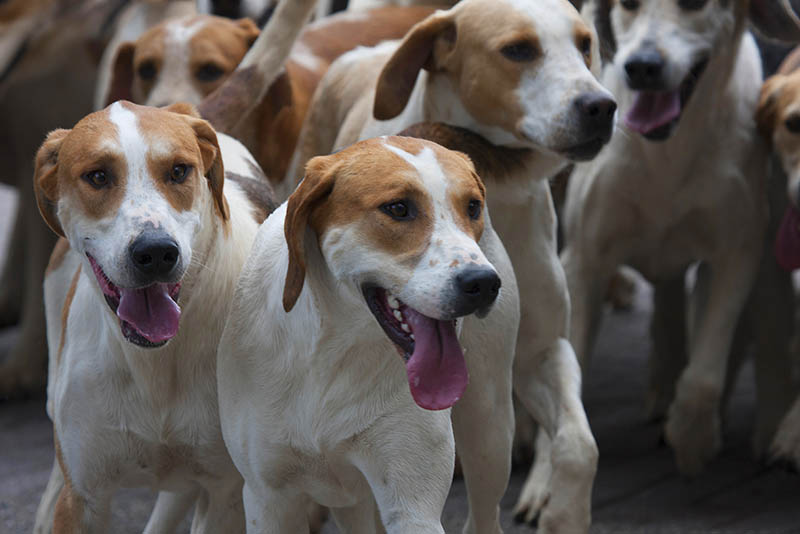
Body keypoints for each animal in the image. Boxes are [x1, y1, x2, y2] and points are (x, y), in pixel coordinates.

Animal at [31, 101, 272, 534]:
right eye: (98, 176)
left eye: (179, 171)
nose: (156, 252)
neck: (154, 360)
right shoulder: (84, 499)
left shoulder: (226, 494)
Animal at [219, 136, 516, 534]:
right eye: (398, 208)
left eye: (472, 206)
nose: (482, 283)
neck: (335, 351)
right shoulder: (269, 498)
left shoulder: (413, 507)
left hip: (489, 433)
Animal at [290, 0, 616, 528]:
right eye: (518, 50)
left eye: (585, 43)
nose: (601, 106)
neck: (500, 187)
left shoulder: (543, 350)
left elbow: (578, 446)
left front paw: (564, 513)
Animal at [564, 0, 800, 478]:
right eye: (628, 6)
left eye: (694, 4)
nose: (641, 66)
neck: (667, 154)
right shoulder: (584, 259)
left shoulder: (737, 253)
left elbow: (705, 376)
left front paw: (693, 435)